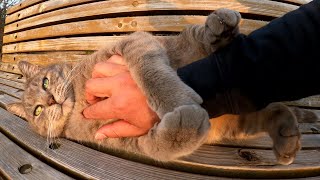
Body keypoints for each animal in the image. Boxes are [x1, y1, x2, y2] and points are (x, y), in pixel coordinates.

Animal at [7, 9, 316, 165]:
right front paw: (185, 126)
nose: (50, 102)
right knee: (270, 108)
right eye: (37, 111)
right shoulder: (122, 138)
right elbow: (159, 145)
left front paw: (176, 101)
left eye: (45, 82)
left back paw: (219, 26)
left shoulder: (134, 42)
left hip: (185, 41)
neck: (80, 99)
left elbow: (151, 73)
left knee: (203, 37)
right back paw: (286, 135)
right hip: (236, 119)